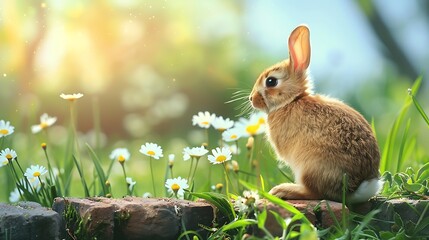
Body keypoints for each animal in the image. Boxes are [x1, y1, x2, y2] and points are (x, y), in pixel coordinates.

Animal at [247, 25, 382, 203]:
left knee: (316, 193)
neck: (292, 100)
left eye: (271, 81)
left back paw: (283, 190)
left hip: (310, 167)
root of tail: (355, 188)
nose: (251, 99)